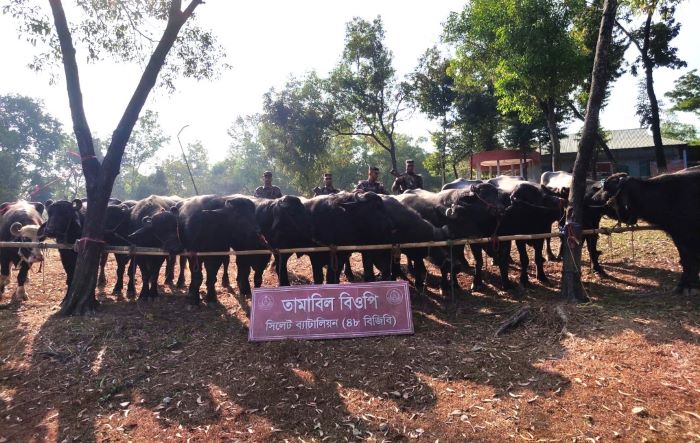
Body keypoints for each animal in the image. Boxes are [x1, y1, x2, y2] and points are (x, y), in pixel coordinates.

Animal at [600, 168, 700, 296]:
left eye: (606, 193)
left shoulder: (689, 236)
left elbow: (692, 260)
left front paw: (691, 286)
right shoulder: (678, 236)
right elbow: (686, 261)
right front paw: (683, 286)